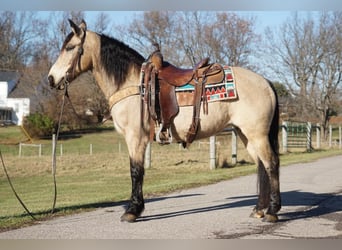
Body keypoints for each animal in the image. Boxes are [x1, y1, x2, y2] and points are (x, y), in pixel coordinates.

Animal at [46, 19, 280, 223]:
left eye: (70, 47)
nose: (51, 79)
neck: (132, 84)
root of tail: (266, 82)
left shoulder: (135, 138)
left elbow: (136, 171)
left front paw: (132, 211)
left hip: (257, 135)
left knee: (271, 164)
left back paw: (272, 211)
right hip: (244, 134)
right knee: (261, 165)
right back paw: (259, 209)